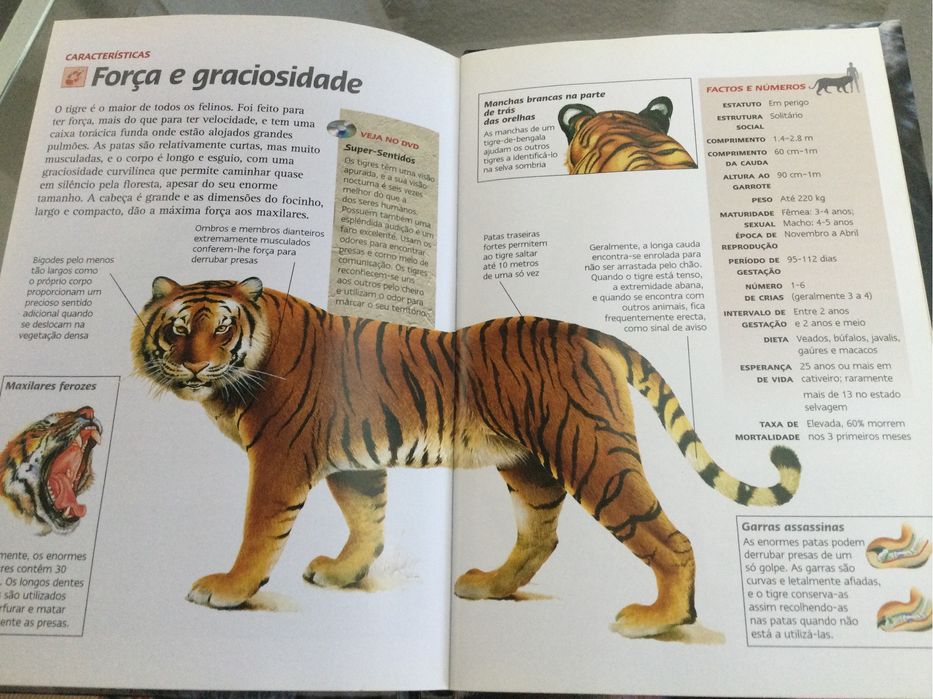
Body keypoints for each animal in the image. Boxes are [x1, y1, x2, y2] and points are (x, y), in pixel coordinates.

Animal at [133, 277, 800, 638]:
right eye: (177, 329)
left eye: (221, 328)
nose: (194, 366)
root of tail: (584, 331)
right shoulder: (350, 461)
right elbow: (367, 521)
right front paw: (344, 574)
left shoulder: (280, 456)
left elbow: (259, 530)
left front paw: (227, 588)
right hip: (530, 464)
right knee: (540, 536)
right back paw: (488, 586)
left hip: (593, 454)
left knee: (669, 537)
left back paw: (659, 618)